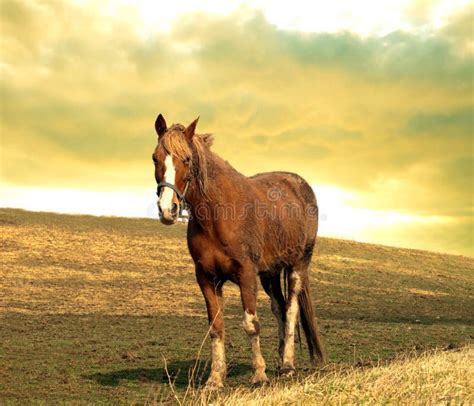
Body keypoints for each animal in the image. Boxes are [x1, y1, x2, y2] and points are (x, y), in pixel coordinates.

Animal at [152, 113, 326, 386]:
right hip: (270, 274)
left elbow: (251, 324)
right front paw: (215, 379)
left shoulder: (246, 275)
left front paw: (259, 376)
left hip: (297, 266)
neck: (218, 215)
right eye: (155, 158)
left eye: (187, 159)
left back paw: (287, 365)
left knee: (290, 310)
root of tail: (300, 185)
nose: (167, 209)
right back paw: (279, 362)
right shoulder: (206, 278)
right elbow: (216, 327)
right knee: (279, 308)